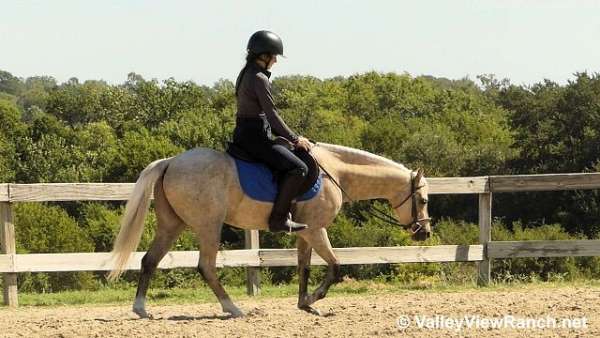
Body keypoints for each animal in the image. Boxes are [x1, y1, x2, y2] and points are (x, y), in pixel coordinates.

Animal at [109, 143, 432, 316]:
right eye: (424, 200)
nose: (424, 233)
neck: (336, 174)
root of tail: (171, 162)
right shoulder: (317, 230)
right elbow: (335, 265)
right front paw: (315, 299)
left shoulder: (305, 232)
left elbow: (304, 266)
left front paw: (305, 304)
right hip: (209, 226)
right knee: (206, 266)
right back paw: (232, 308)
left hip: (172, 225)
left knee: (150, 260)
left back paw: (141, 309)